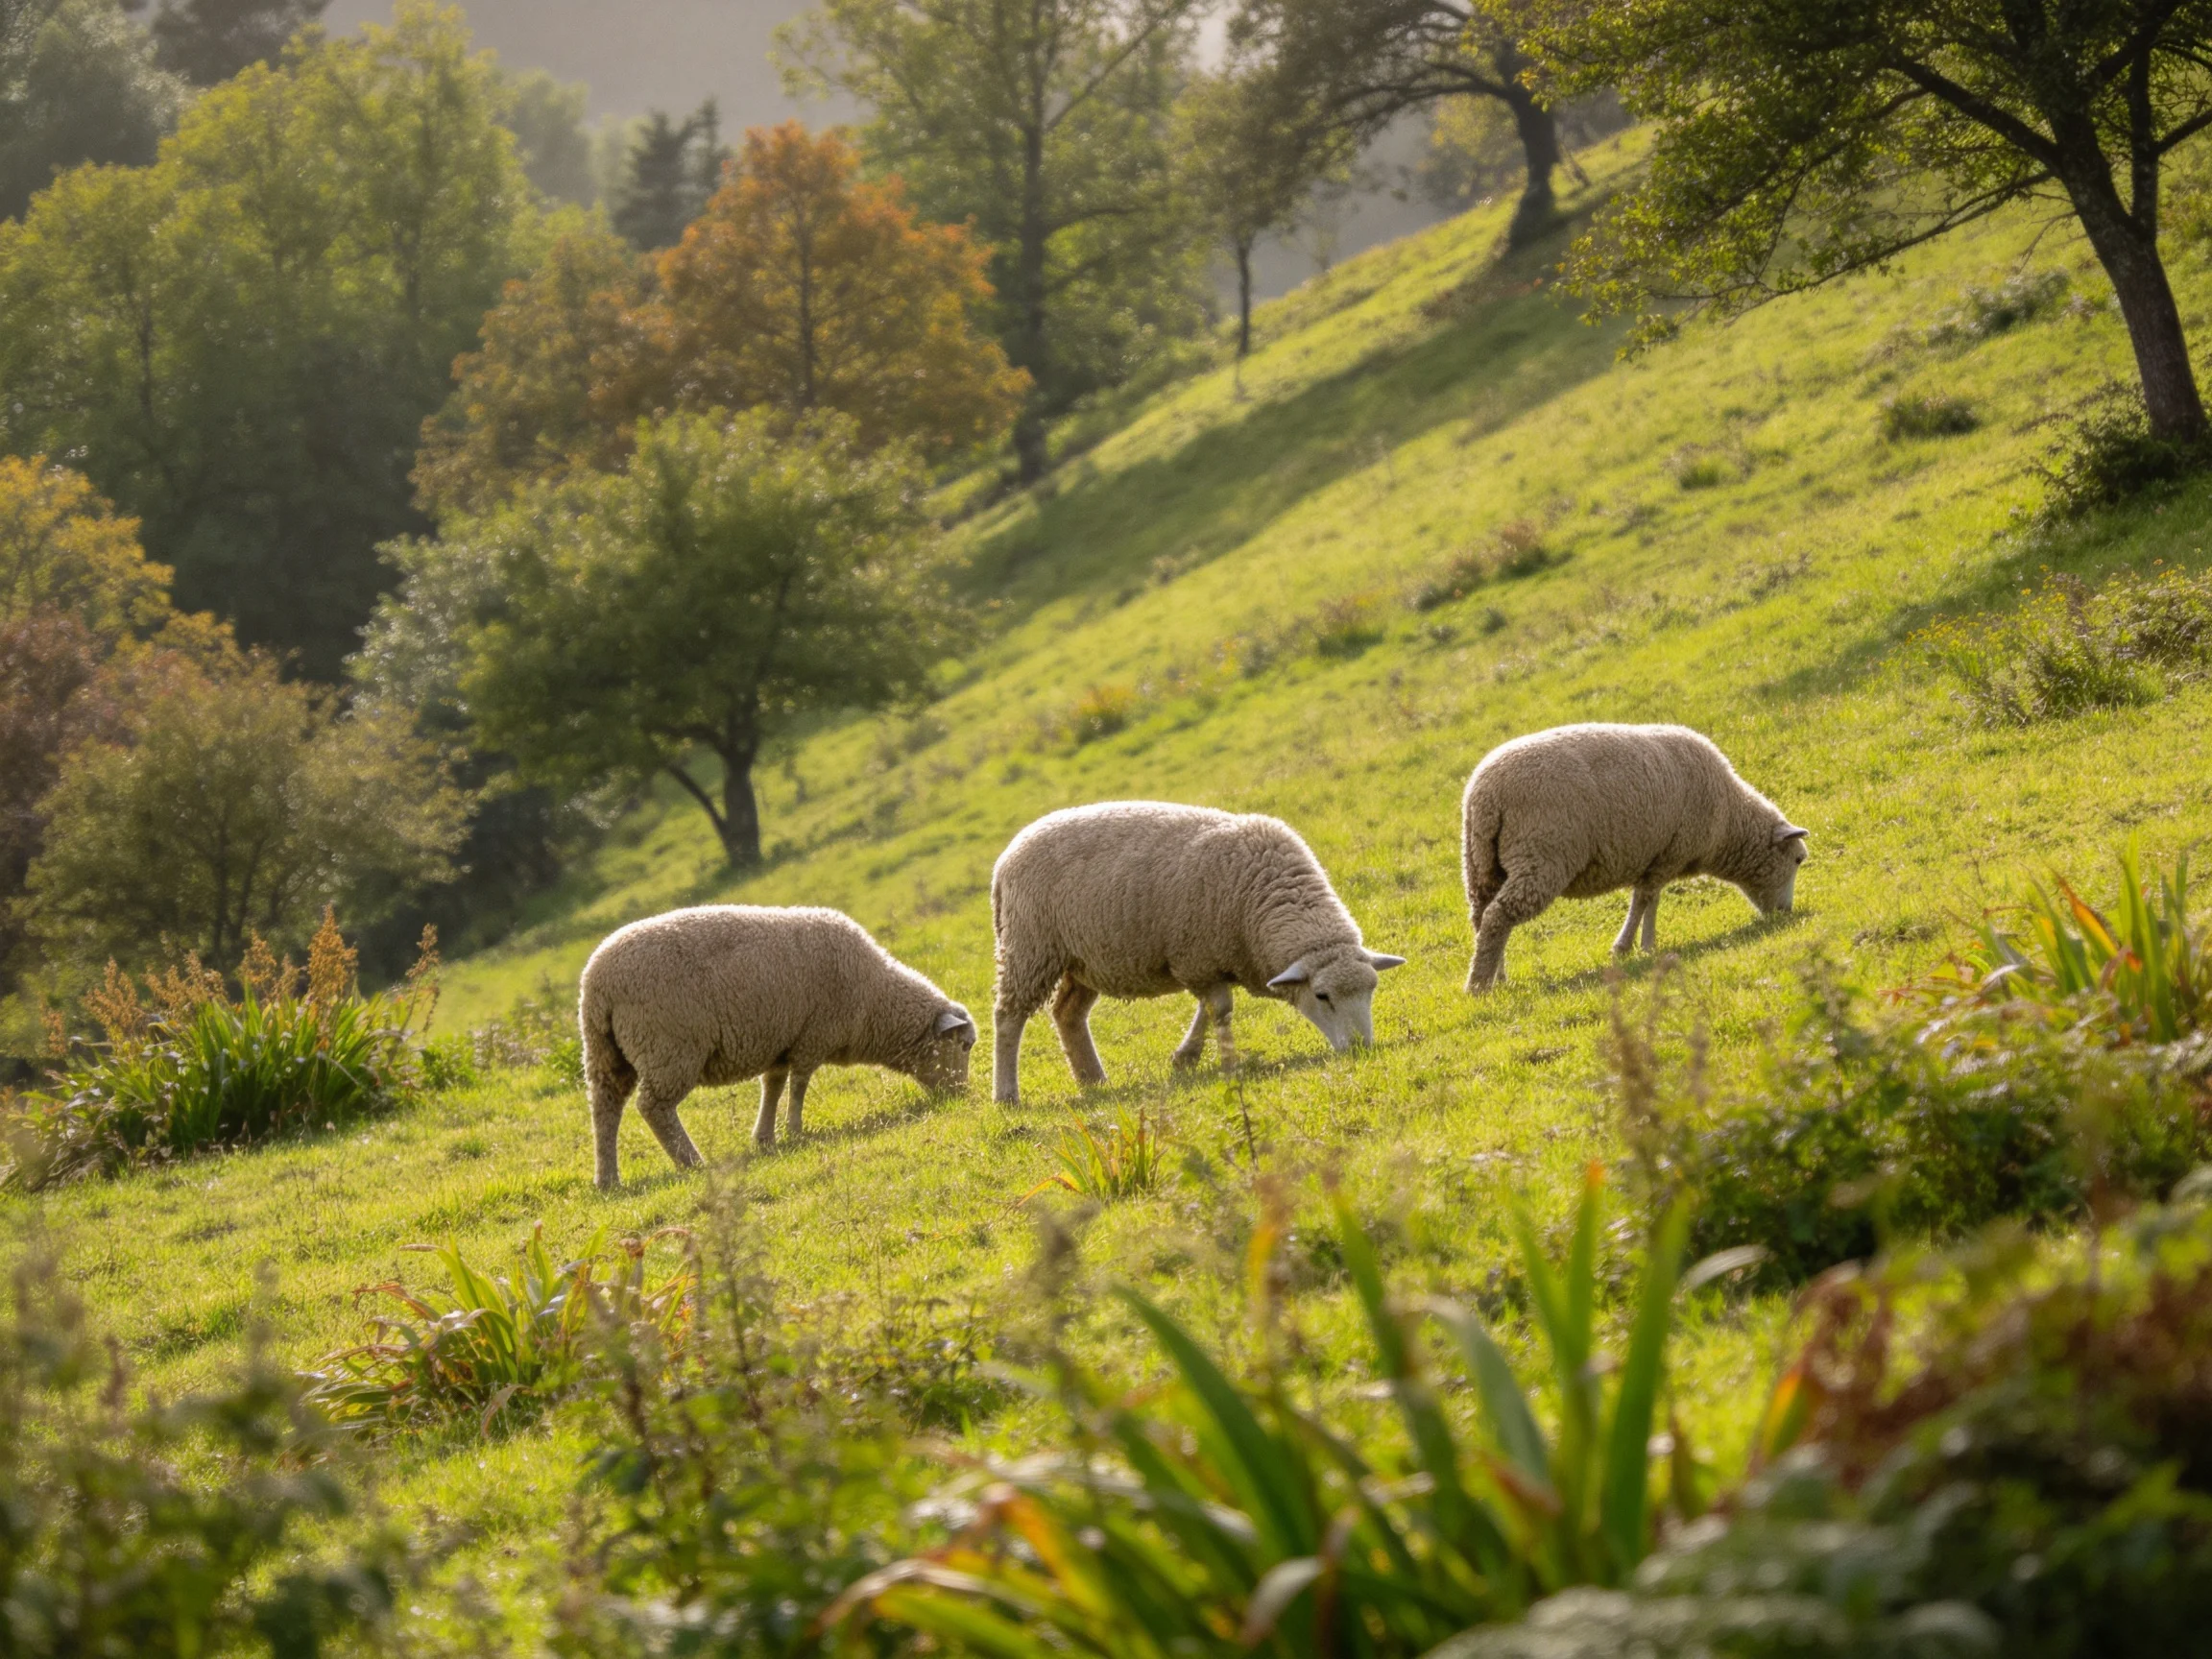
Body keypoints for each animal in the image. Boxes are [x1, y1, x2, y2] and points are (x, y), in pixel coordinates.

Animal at [578, 905, 976, 1189]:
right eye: (966, 1046)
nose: (962, 1096)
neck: (874, 1000)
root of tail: (597, 983)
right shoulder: (813, 1037)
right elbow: (799, 1086)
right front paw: (795, 1131)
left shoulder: (782, 1041)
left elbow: (773, 1085)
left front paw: (765, 1138)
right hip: (669, 1046)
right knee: (654, 1108)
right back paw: (692, 1163)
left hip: (604, 1051)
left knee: (605, 1107)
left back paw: (608, 1179)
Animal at [989, 801, 1406, 1104]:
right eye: (1322, 996)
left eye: (1371, 990)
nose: (1361, 1049)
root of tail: (1006, 858)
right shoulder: (1196, 958)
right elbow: (1220, 1008)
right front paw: (1205, 1060)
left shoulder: (1212, 960)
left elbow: (1212, 1008)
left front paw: (1188, 1058)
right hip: (1031, 947)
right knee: (1008, 1017)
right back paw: (1007, 1095)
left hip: (1083, 960)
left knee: (1068, 1014)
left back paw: (1094, 1081)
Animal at [1460, 722, 1808, 990]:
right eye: (1798, 860)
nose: (1786, 912)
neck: (1729, 822)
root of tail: (1486, 794)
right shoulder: (1670, 853)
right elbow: (1645, 899)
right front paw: (1633, 946)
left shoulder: (1657, 856)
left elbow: (1648, 901)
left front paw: (1642, 946)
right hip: (1542, 856)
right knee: (1498, 916)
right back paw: (1478, 986)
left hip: (1481, 861)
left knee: (1483, 917)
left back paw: (1497, 976)